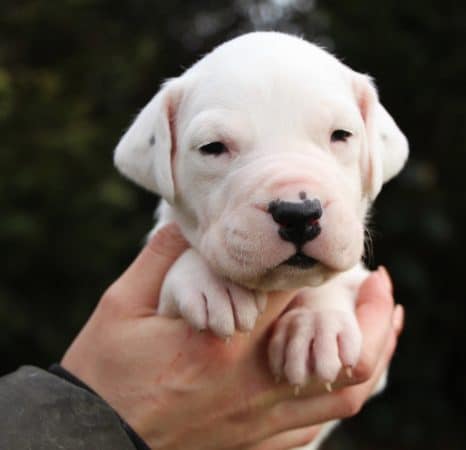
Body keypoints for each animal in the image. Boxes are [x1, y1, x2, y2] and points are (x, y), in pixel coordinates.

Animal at [115, 32, 408, 450]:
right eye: (212, 147)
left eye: (341, 135)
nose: (298, 214)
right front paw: (210, 282)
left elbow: (330, 283)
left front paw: (317, 325)